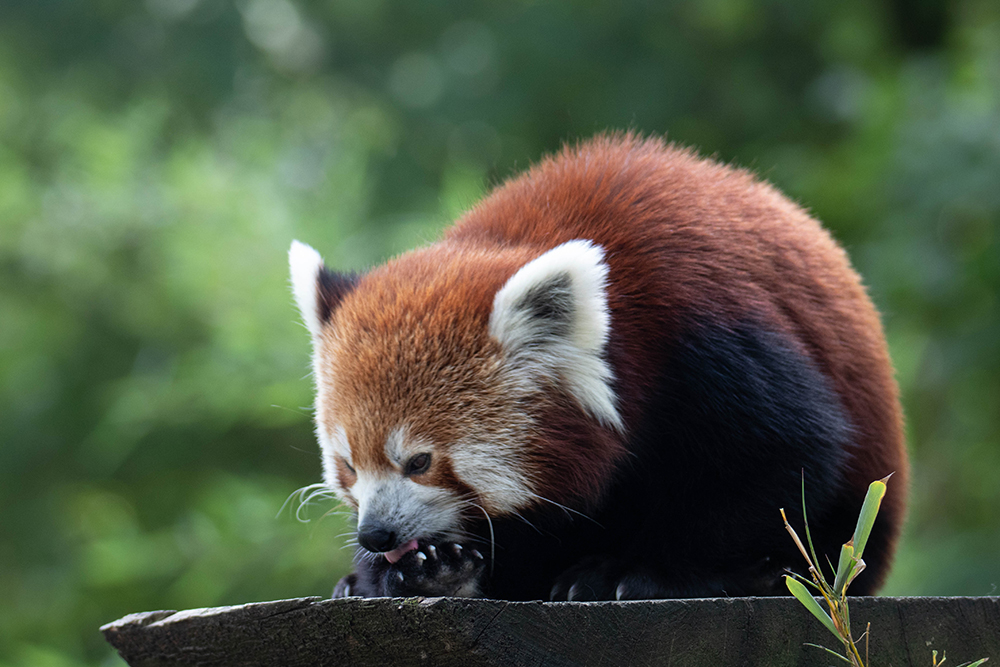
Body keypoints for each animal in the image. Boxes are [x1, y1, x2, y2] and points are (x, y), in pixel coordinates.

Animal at [288, 134, 908, 600]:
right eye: (348, 466)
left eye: (419, 461)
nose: (376, 533)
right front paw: (423, 569)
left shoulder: (710, 338)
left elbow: (781, 460)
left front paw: (646, 570)